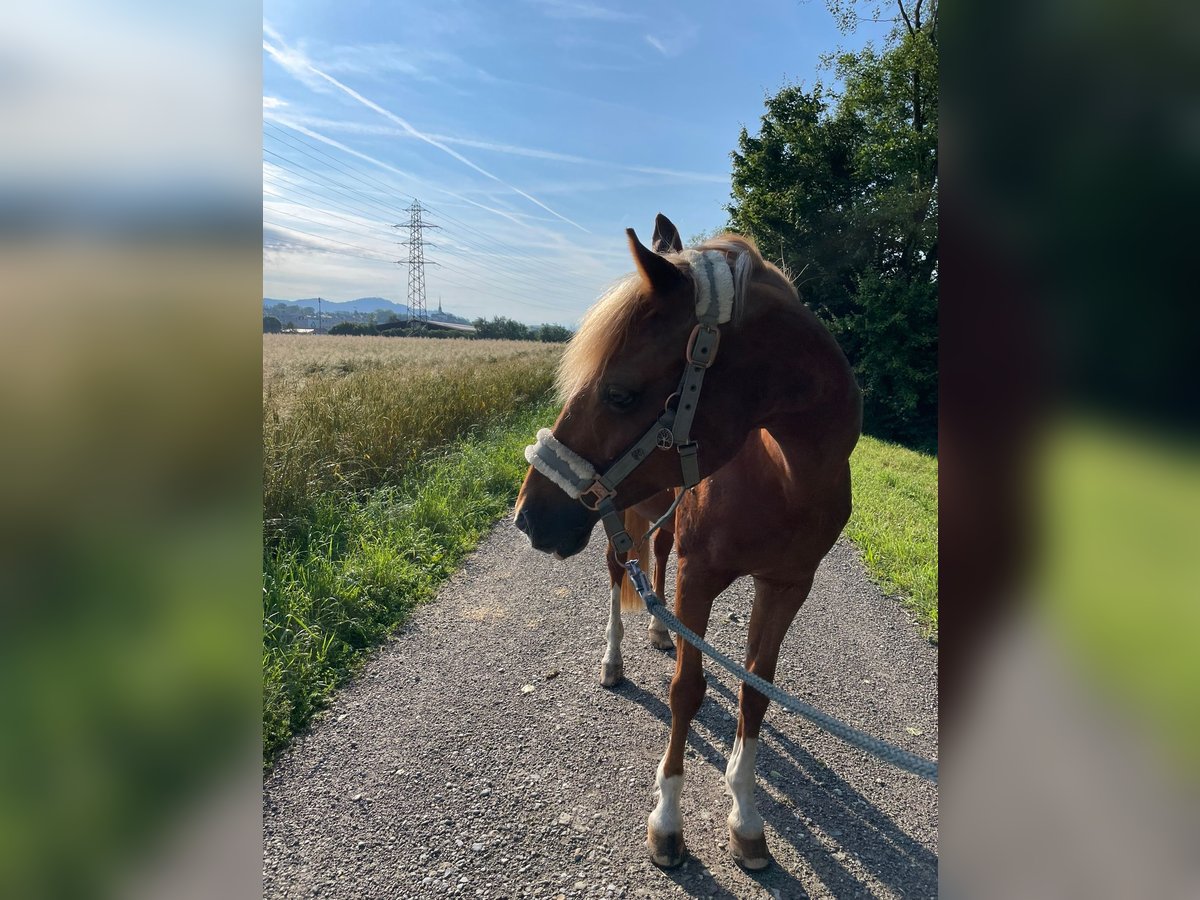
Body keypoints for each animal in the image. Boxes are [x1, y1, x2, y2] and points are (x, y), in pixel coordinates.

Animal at [516, 213, 864, 873]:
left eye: (620, 392)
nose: (528, 518)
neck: (785, 476)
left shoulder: (786, 586)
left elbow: (756, 693)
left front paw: (746, 818)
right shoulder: (698, 577)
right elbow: (687, 692)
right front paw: (667, 821)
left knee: (653, 562)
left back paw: (659, 631)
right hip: (624, 517)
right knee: (618, 572)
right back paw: (615, 660)